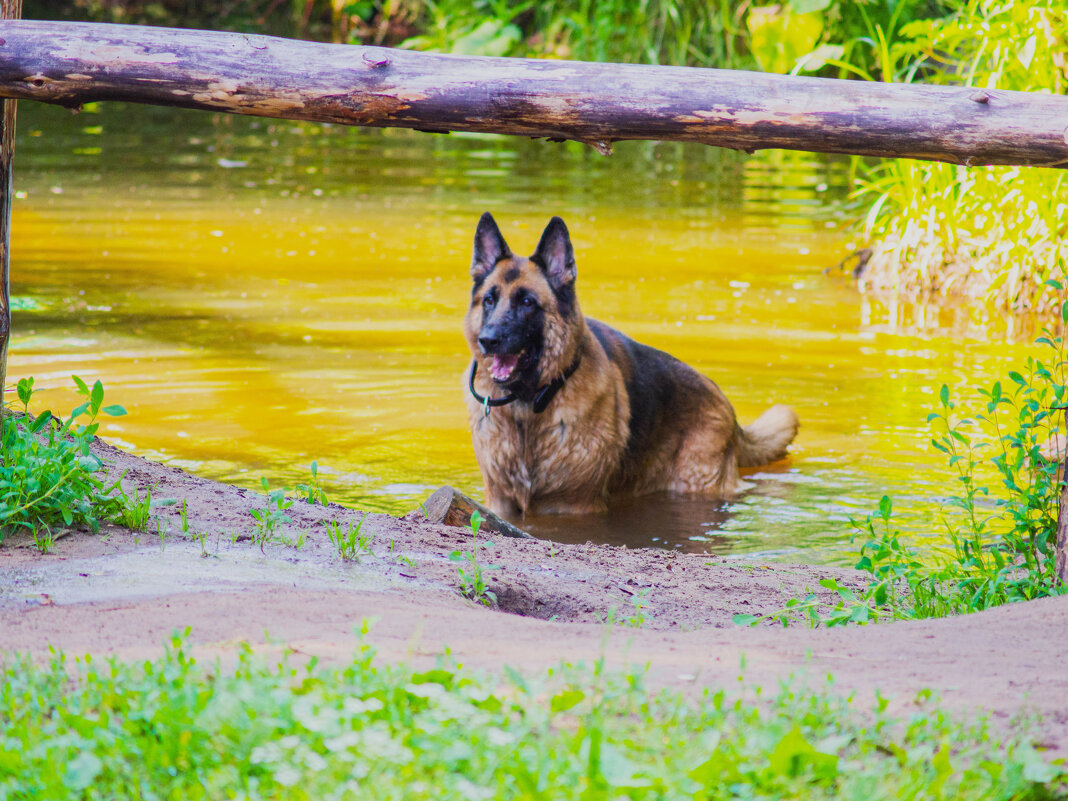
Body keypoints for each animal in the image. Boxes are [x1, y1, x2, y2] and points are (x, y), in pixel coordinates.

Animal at [463, 213, 798, 516]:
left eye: (527, 302)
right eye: (489, 300)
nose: (488, 339)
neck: (529, 407)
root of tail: (724, 401)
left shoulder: (574, 504)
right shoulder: (500, 500)